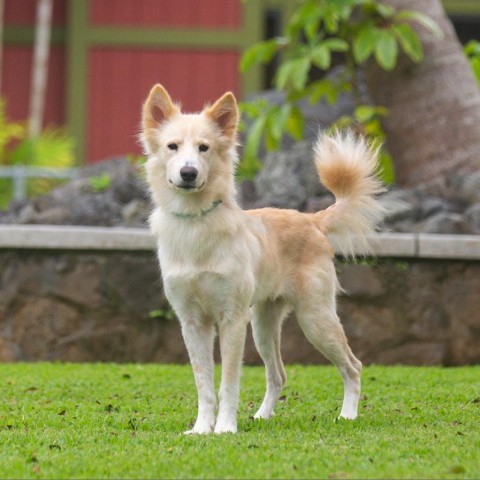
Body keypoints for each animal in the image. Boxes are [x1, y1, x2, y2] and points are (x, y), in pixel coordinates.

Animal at [141, 84, 384, 434]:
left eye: (204, 148)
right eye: (172, 146)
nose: (188, 173)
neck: (197, 222)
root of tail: (311, 220)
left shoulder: (232, 319)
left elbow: (228, 382)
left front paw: (225, 428)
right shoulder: (192, 322)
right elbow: (204, 384)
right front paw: (202, 428)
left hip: (315, 319)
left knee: (353, 366)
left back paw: (348, 414)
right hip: (263, 326)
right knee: (278, 375)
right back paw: (262, 415)